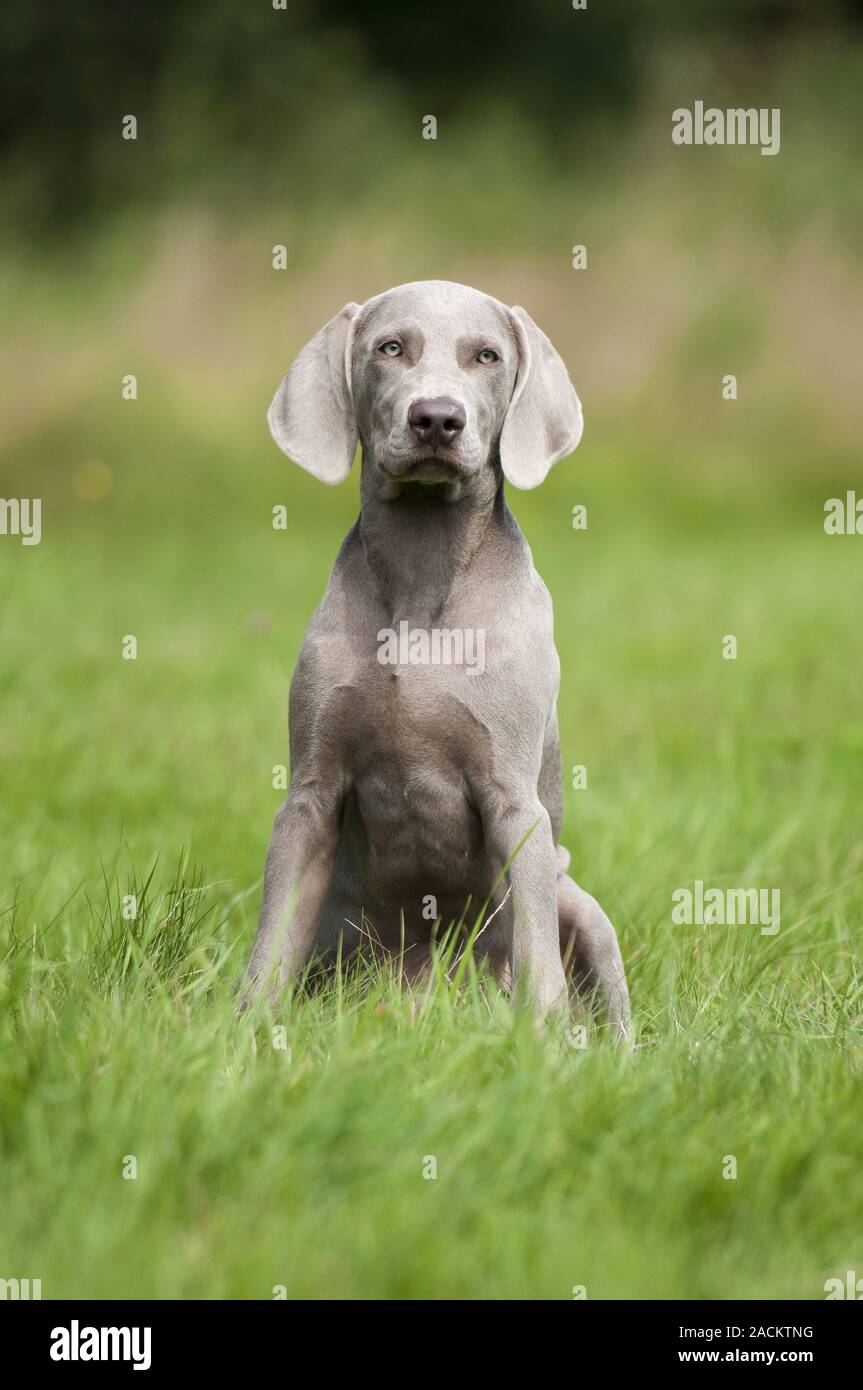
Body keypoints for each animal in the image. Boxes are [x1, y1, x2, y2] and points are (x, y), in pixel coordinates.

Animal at [239, 279, 628, 1034]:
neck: (422, 567)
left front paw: (538, 1041)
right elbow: (270, 943)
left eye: (487, 356)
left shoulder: (515, 803)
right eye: (390, 348)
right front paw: (240, 1033)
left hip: (582, 906)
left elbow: (537, 957)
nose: (437, 420)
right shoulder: (309, 798)